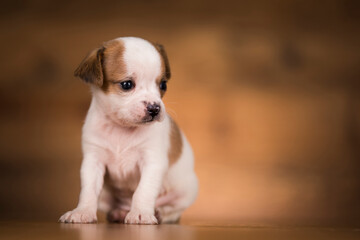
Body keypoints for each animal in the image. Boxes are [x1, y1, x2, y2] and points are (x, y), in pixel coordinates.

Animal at [60, 36, 198, 224]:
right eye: (126, 85)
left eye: (163, 85)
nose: (155, 108)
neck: (122, 128)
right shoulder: (93, 162)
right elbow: (88, 191)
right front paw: (82, 211)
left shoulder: (152, 162)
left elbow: (143, 191)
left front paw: (141, 213)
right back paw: (119, 213)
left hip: (187, 190)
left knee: (173, 211)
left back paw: (159, 213)